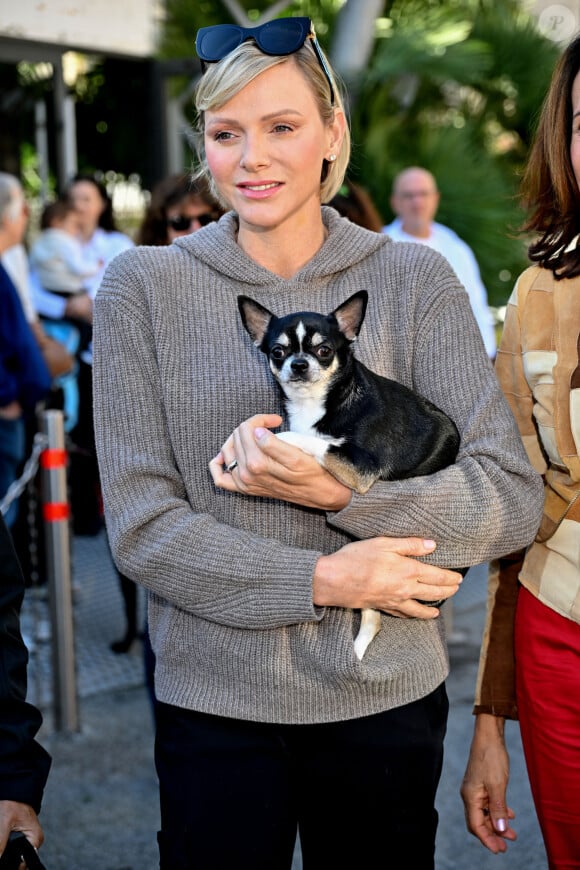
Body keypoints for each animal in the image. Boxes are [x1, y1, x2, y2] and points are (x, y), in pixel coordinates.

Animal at [238, 292, 460, 660]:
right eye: (277, 352)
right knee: (373, 619)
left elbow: (317, 442)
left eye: (324, 350)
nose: (299, 364)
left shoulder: (361, 467)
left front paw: (279, 439)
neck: (318, 400)